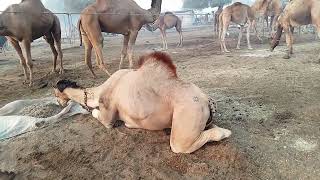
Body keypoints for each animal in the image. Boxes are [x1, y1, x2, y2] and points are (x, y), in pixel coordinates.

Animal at [53, 51, 231, 153]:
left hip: (188, 116)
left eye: (55, 93)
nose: (60, 103)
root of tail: (206, 100)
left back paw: (224, 132)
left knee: (180, 145)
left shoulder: (107, 115)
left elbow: (98, 115)